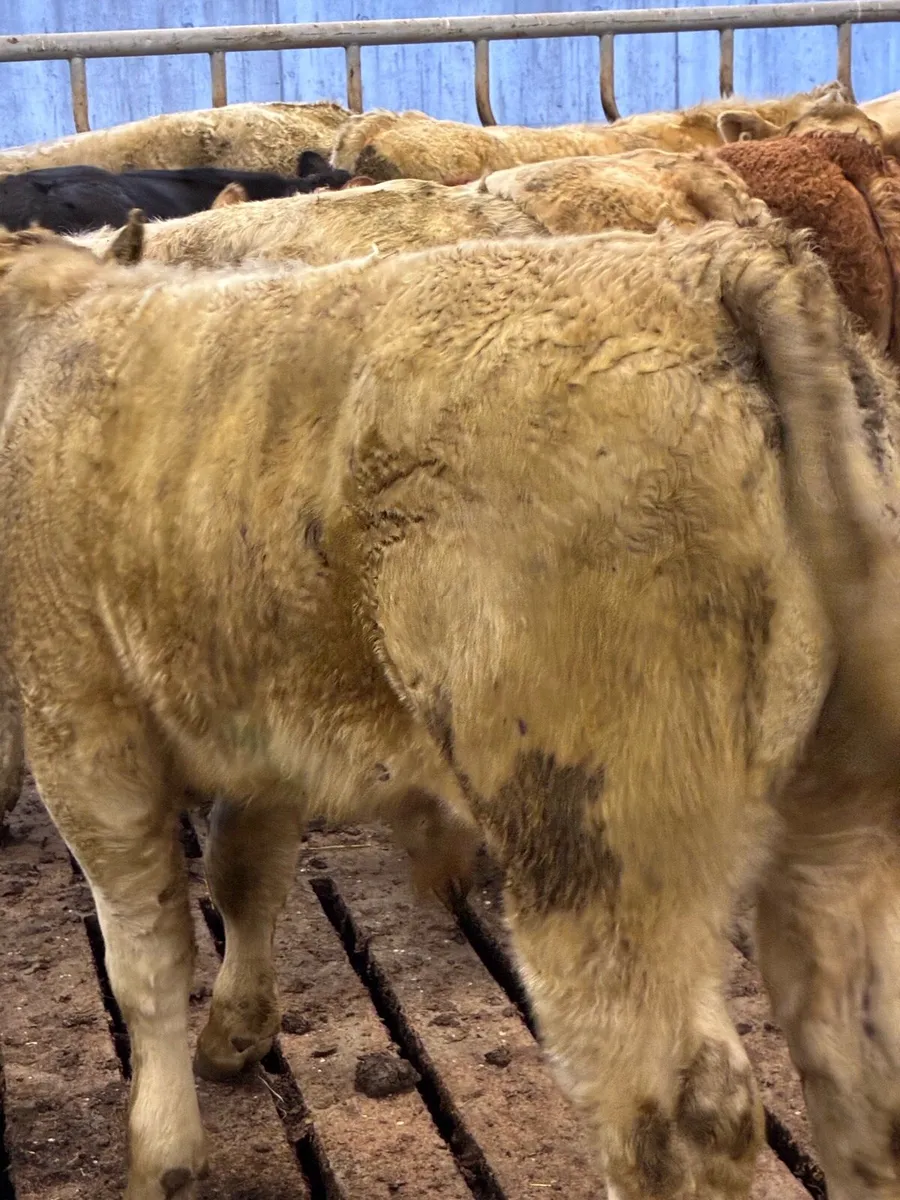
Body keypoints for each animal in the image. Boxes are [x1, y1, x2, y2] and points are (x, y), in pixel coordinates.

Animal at [2, 211, 900, 1200]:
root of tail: (713, 262)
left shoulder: (82, 732)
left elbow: (147, 951)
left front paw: (162, 1153)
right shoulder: (260, 736)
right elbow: (245, 875)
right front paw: (236, 1032)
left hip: (596, 842)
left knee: (676, 1114)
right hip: (837, 825)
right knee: (857, 1069)